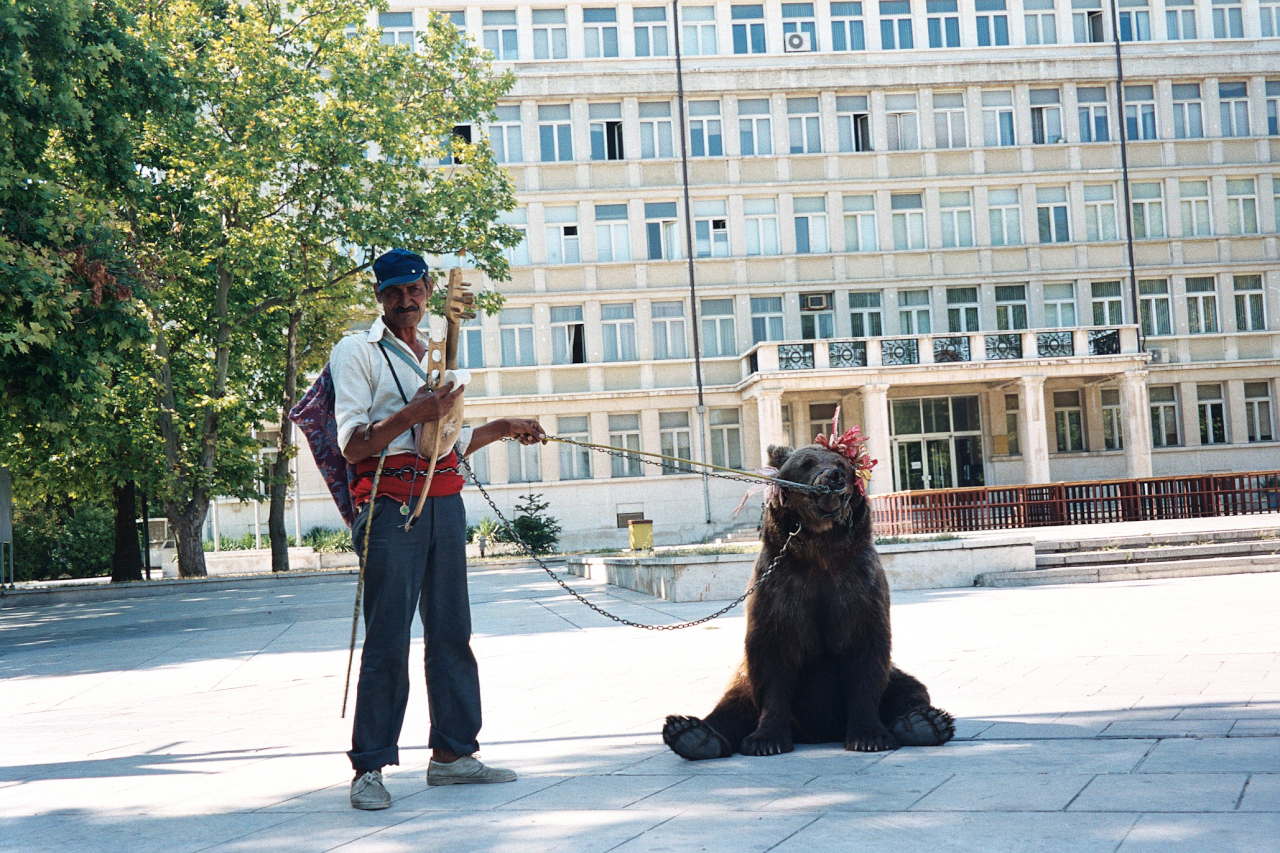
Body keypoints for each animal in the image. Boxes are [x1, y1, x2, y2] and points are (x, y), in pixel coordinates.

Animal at [665, 438, 957, 758]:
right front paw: (765, 740)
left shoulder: (856, 584)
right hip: (742, 680)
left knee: (910, 690)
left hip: (895, 678)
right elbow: (772, 659)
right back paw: (693, 734)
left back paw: (923, 723)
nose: (834, 476)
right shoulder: (781, 588)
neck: (820, 551)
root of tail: (818, 734)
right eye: (806, 464)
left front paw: (870, 736)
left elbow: (866, 655)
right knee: (733, 703)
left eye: (842, 465)